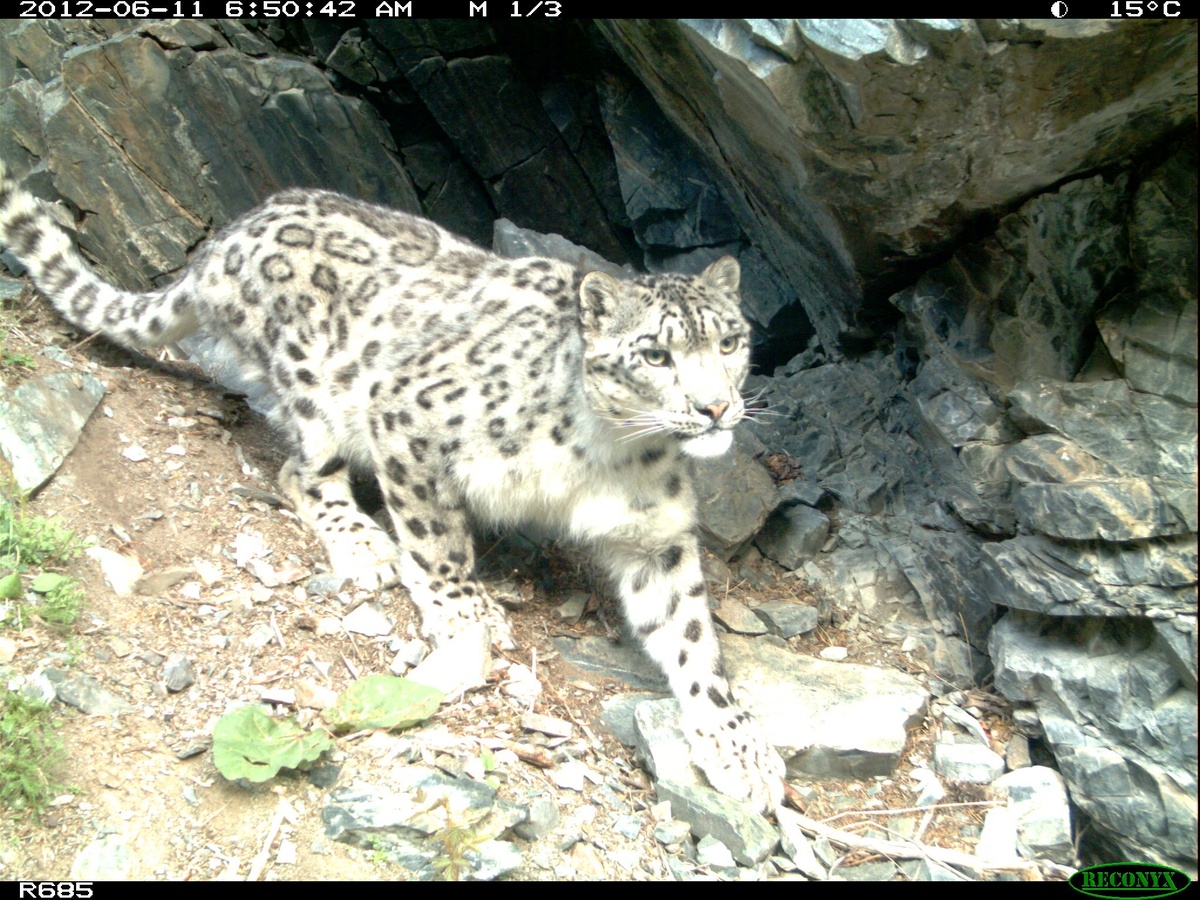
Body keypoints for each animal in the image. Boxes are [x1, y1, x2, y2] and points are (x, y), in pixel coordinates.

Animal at [0, 162, 787, 811]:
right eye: (654, 354)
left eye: (728, 341)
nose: (716, 408)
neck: (607, 454)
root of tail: (227, 239)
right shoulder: (410, 414)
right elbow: (438, 542)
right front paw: (466, 613)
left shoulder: (656, 535)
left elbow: (692, 636)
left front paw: (737, 746)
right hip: (318, 386)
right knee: (301, 472)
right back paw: (366, 546)